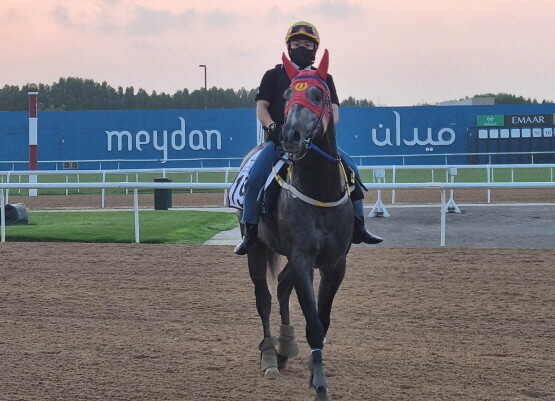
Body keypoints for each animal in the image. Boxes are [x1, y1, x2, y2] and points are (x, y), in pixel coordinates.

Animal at [238, 50, 352, 400]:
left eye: (318, 95)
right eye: (287, 95)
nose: (289, 136)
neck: (319, 191)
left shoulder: (334, 263)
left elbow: (322, 319)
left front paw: (314, 371)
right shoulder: (303, 259)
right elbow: (313, 323)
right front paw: (320, 384)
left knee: (282, 287)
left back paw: (286, 348)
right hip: (256, 248)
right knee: (264, 298)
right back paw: (270, 356)